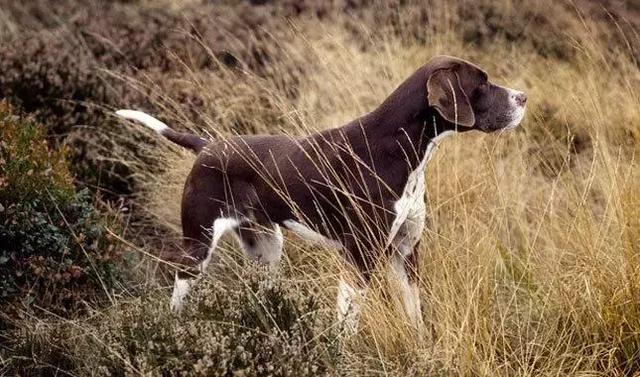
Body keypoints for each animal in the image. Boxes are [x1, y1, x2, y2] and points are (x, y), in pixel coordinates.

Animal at [117, 54, 528, 328]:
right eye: (482, 84)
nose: (523, 96)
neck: (399, 150)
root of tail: (207, 147)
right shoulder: (359, 258)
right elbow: (346, 325)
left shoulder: (406, 252)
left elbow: (416, 319)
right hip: (197, 247)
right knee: (179, 291)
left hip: (267, 247)